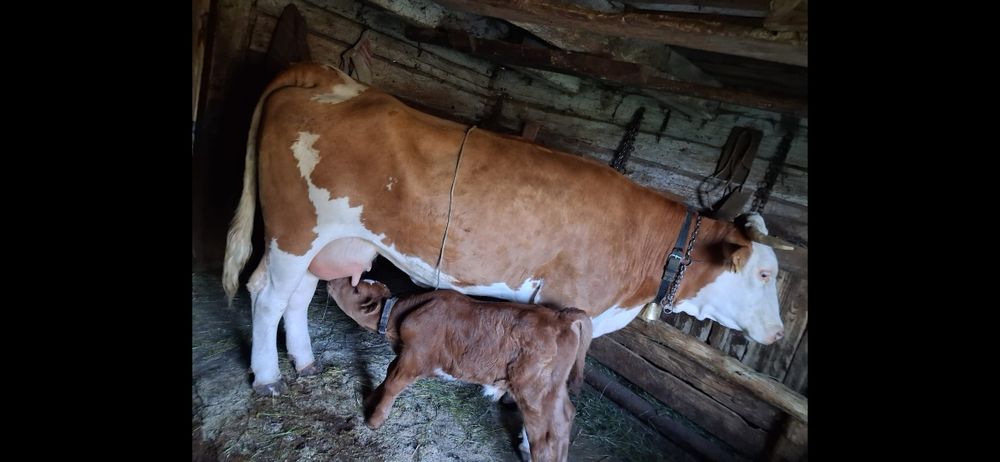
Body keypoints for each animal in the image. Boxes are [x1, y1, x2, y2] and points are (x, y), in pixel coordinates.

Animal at [221, 62, 794, 396]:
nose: (778, 334)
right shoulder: (572, 303)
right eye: (765, 274)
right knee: (266, 295)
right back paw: (268, 378)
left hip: (328, 240)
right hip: (293, 230)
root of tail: (330, 76)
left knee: (296, 297)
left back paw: (304, 362)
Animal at [326, 277, 592, 462]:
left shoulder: (414, 357)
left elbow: (393, 383)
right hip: (552, 388)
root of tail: (561, 315)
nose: (329, 281)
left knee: (547, 433)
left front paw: (374, 420)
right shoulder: (404, 354)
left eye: (356, 290)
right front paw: (370, 398)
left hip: (534, 390)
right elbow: (387, 374)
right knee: (566, 417)